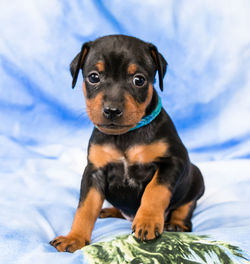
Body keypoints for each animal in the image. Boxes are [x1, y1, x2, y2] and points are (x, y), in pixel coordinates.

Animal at [49, 34, 204, 252]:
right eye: (94, 77)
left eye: (139, 80)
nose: (112, 110)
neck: (125, 136)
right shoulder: (94, 171)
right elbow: (85, 207)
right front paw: (75, 237)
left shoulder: (173, 162)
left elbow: (155, 191)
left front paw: (147, 221)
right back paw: (110, 210)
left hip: (196, 178)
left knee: (186, 205)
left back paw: (176, 223)